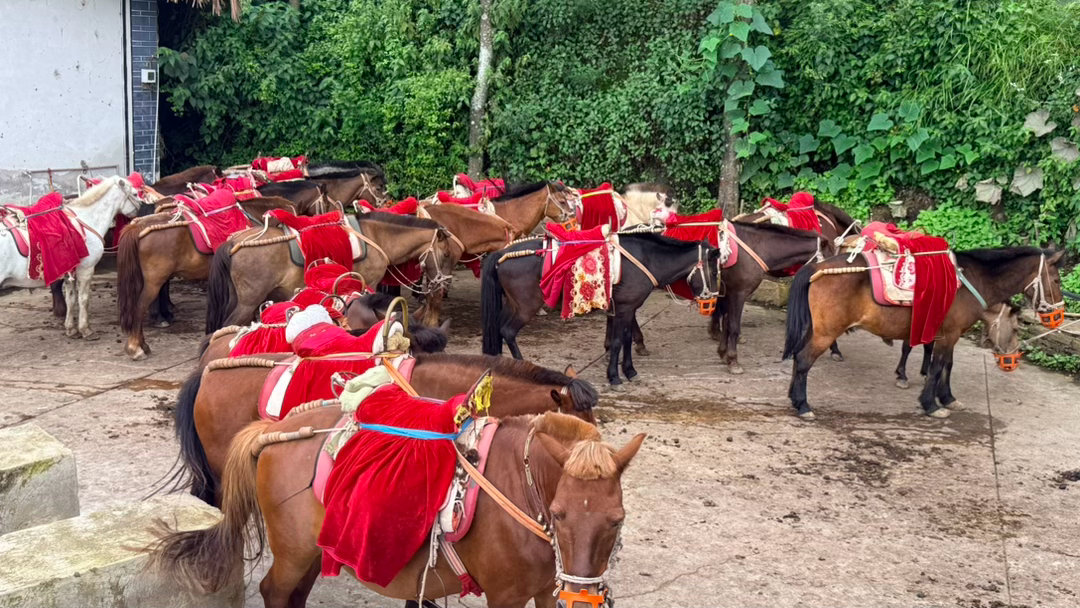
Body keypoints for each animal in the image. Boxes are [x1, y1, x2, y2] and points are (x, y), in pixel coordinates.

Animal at [1, 176, 147, 338]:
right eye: (135, 194)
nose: (141, 210)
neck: (86, 219)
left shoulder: (70, 272)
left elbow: (70, 299)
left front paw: (70, 328)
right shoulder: (86, 270)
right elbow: (83, 299)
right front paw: (85, 329)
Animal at [151, 409, 643, 608]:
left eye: (616, 520)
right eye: (559, 513)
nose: (582, 597)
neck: (524, 490)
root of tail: (274, 433)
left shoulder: (545, 590)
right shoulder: (506, 596)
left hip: (312, 552)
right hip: (292, 552)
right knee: (275, 591)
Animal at [204, 213, 461, 332]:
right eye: (447, 254)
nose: (444, 285)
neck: (377, 236)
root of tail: (234, 242)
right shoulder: (367, 284)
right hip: (248, 302)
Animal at [481, 232, 721, 386]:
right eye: (714, 272)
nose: (713, 300)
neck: (646, 258)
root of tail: (501, 254)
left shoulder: (626, 309)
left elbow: (626, 340)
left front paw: (630, 371)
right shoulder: (624, 309)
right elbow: (617, 342)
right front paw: (614, 377)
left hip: (512, 304)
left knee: (498, 329)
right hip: (526, 305)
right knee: (508, 331)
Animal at [783, 247, 1065, 418]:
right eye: (1057, 280)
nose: (1058, 315)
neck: (970, 282)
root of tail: (816, 268)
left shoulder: (948, 335)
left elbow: (947, 366)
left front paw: (947, 398)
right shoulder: (949, 334)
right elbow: (938, 367)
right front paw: (931, 404)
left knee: (798, 358)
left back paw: (794, 399)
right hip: (826, 333)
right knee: (804, 360)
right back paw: (803, 405)